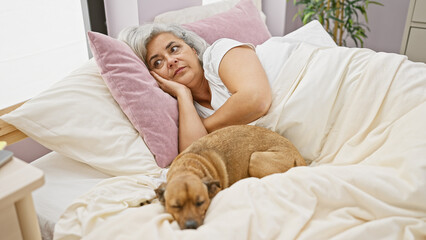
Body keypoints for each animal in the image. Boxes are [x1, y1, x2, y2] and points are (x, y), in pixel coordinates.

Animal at [155, 124, 304, 230]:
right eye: (175, 206)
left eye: (201, 202)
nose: (191, 226)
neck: (188, 167)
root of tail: (298, 156)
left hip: (255, 158)